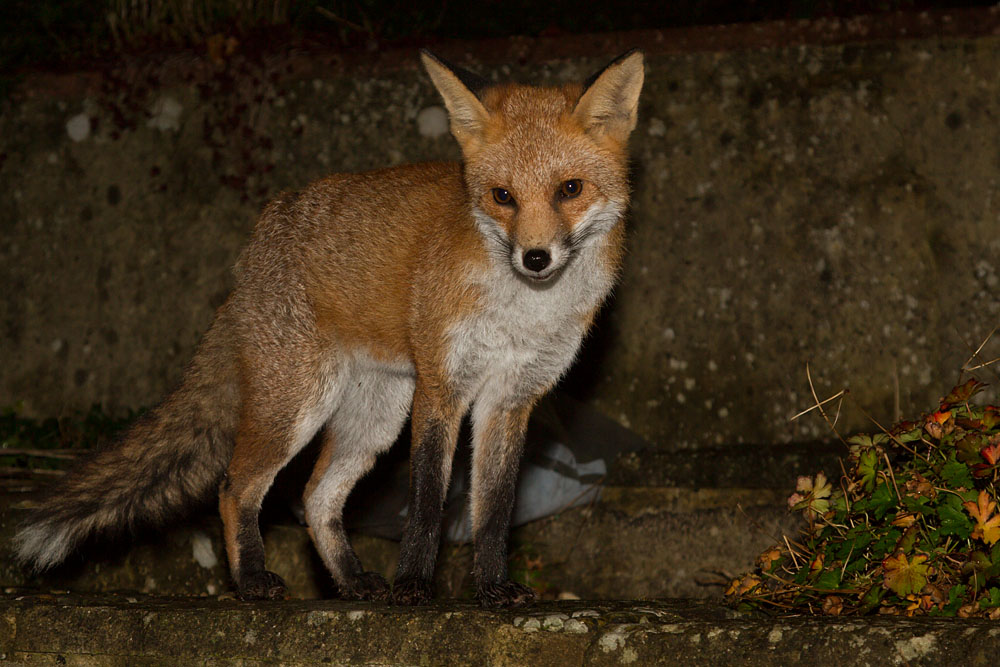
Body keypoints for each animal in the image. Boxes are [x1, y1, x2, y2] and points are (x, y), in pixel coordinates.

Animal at [14, 49, 645, 608]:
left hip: (375, 416)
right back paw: (252, 582)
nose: (535, 258)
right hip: (299, 404)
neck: (523, 312)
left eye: (570, 189)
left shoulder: (510, 398)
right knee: (235, 487)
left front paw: (491, 589)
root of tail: (253, 254)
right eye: (502, 197)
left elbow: (493, 510)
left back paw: (351, 582)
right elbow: (428, 501)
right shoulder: (443, 387)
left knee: (317, 498)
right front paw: (413, 587)